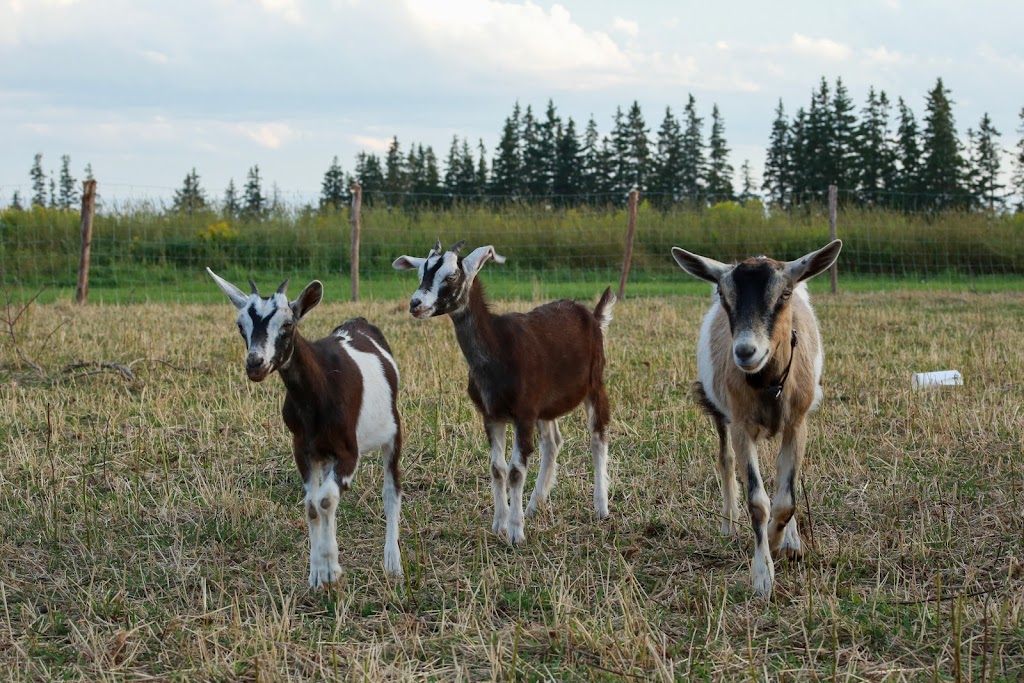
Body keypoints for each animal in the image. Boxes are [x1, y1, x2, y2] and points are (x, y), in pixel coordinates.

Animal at [205, 270, 401, 589]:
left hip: (393, 433)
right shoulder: (304, 449)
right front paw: (318, 573)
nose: (255, 363)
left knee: (390, 492)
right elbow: (312, 505)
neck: (319, 390)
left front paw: (331, 568)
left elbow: (325, 500)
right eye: (240, 325)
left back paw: (393, 563)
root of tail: (359, 322)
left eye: (287, 324)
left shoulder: (349, 452)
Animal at [391, 240, 614, 544]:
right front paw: (500, 524)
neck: (498, 346)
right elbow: (497, 469)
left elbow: (516, 471)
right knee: (552, 442)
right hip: (544, 405)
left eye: (451, 275)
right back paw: (535, 505)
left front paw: (516, 532)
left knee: (597, 437)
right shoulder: (492, 415)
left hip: (594, 384)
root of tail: (592, 315)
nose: (416, 304)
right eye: (420, 273)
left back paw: (601, 506)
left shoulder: (523, 413)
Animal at [671, 241, 839, 598]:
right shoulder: (741, 425)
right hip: (720, 412)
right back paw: (728, 524)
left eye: (785, 293)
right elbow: (758, 502)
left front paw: (781, 541)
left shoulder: (797, 425)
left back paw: (791, 540)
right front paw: (763, 575)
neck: (768, 384)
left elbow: (786, 499)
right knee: (725, 460)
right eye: (723, 295)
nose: (746, 352)